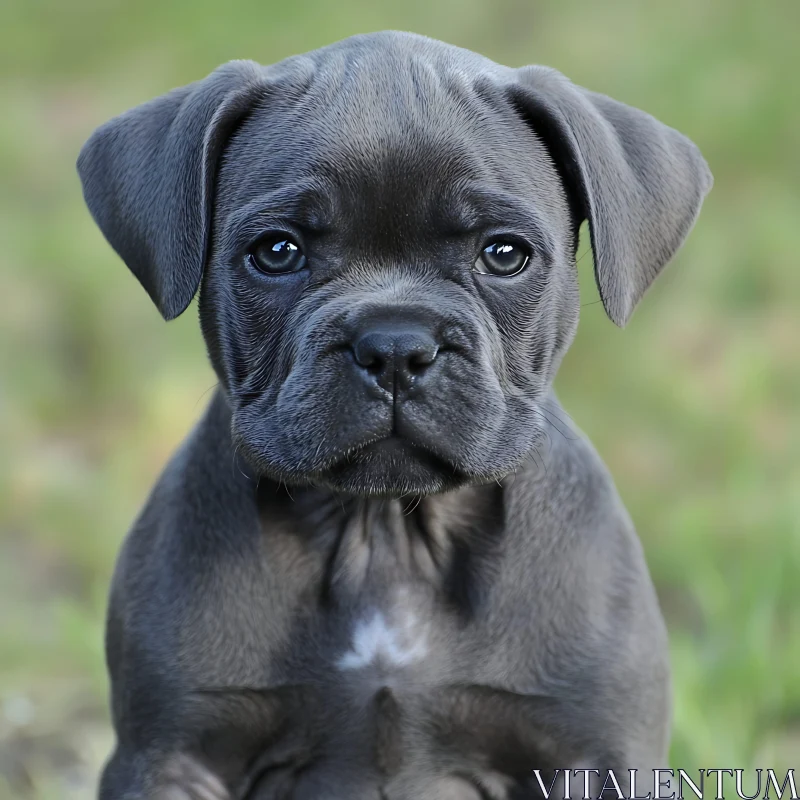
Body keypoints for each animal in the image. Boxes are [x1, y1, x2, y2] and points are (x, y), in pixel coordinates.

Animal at [78, 29, 708, 800]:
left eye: (505, 254)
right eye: (277, 252)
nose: (396, 345)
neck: (386, 531)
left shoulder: (599, 755)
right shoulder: (171, 755)